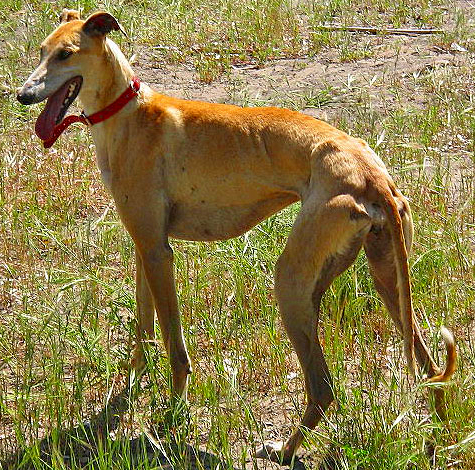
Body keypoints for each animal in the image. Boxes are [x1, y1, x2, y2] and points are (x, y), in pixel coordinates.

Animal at [17, 9, 458, 464]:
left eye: (67, 54)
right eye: (41, 50)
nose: (22, 95)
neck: (130, 114)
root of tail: (374, 176)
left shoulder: (159, 252)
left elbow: (175, 347)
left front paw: (172, 415)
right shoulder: (144, 246)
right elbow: (143, 329)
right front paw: (130, 386)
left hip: (292, 282)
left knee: (323, 387)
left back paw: (284, 449)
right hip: (385, 279)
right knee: (430, 371)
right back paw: (438, 442)